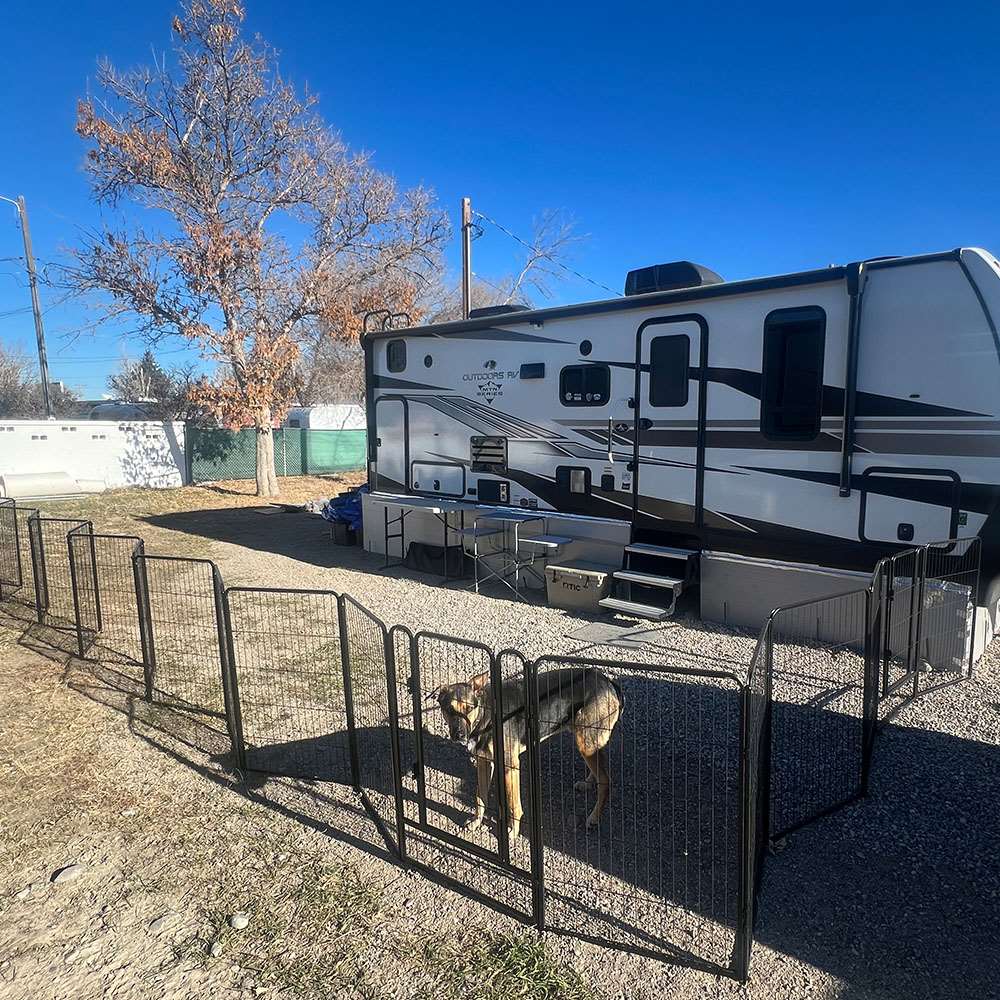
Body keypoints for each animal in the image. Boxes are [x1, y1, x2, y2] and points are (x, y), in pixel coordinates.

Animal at [430, 668, 624, 840]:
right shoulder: (483, 762)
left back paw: (594, 817)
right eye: (449, 710)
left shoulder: (510, 765)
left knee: (605, 781)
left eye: (469, 708)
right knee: (599, 769)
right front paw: (477, 821)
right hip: (588, 741)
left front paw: (512, 831)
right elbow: (480, 796)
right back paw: (588, 782)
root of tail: (608, 682)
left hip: (585, 742)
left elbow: (513, 804)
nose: (459, 735)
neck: (486, 714)